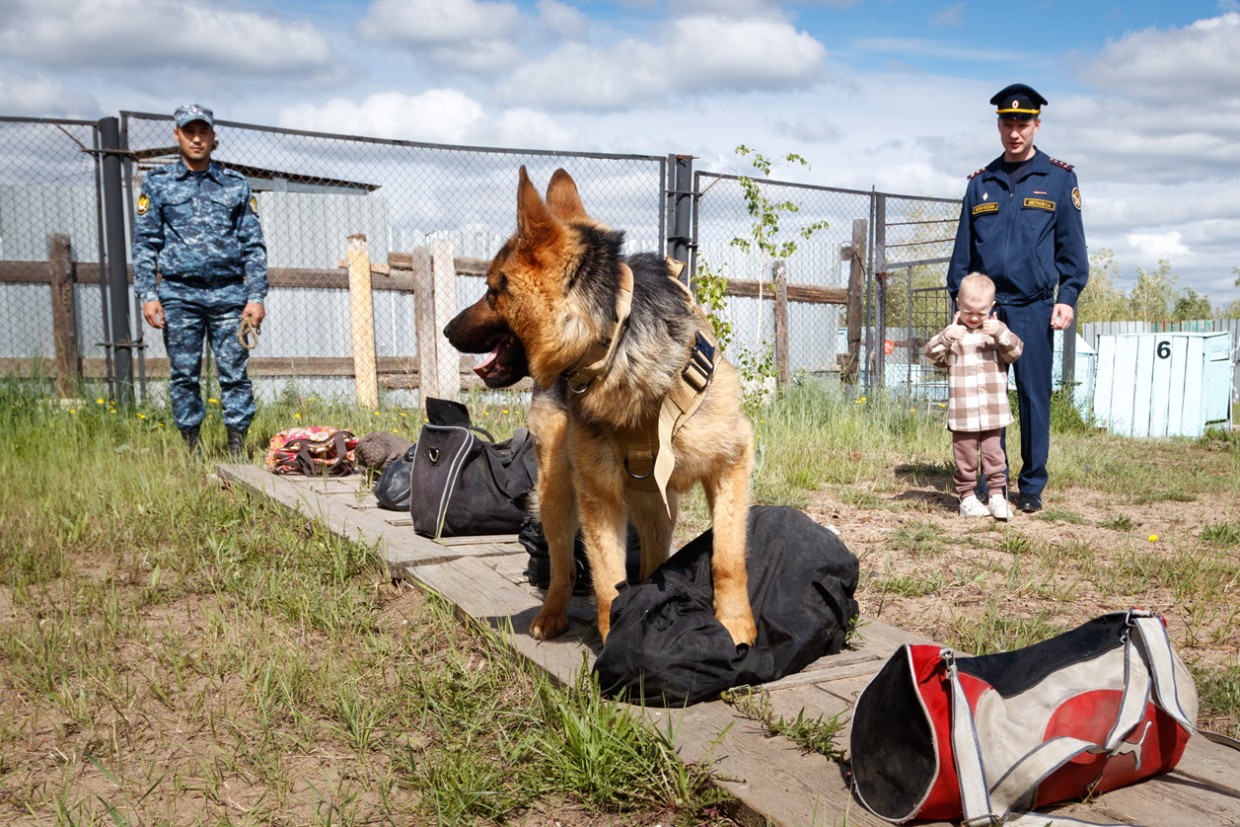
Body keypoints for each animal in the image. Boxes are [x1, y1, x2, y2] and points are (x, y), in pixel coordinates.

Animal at [446, 168, 753, 644]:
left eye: (492, 291)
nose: (445, 330)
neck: (614, 344)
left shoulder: (732, 462)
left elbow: (727, 557)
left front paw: (737, 626)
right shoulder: (599, 497)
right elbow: (608, 581)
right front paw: (614, 642)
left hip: (655, 505)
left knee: (653, 558)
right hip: (558, 494)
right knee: (564, 567)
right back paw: (551, 615)